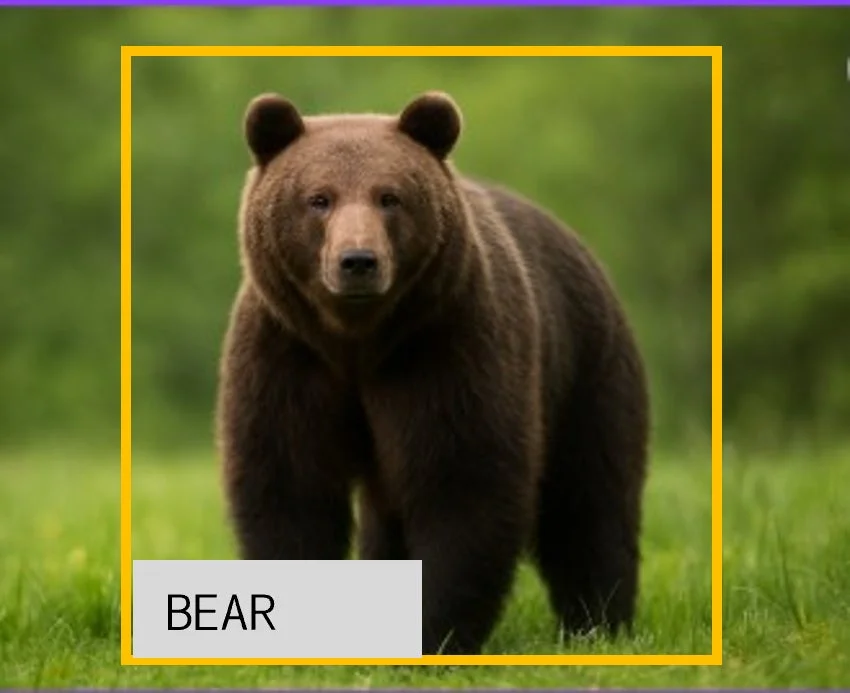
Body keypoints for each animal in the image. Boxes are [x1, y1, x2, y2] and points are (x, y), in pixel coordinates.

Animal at [216, 90, 650, 656]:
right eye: (319, 198)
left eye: (389, 197)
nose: (358, 261)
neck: (356, 340)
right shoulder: (288, 356)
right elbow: (289, 483)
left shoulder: (444, 350)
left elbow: (461, 482)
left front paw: (435, 634)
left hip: (585, 368)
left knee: (588, 500)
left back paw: (598, 624)